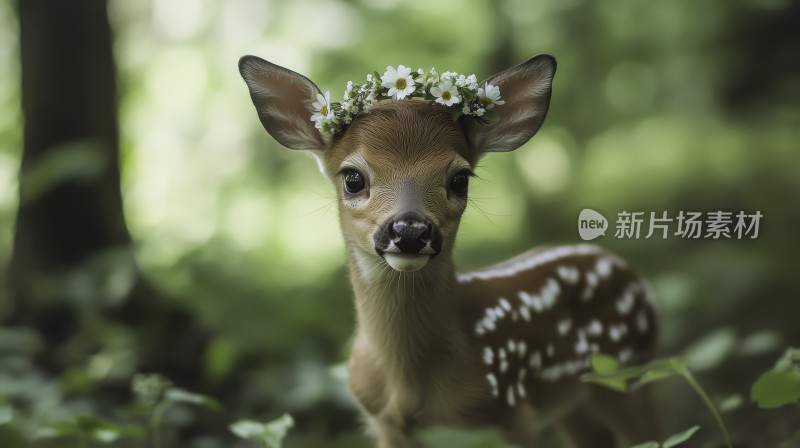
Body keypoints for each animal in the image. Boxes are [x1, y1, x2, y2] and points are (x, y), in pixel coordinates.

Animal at [241, 54, 660, 446]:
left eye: (460, 179)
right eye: (353, 178)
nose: (410, 231)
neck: (409, 384)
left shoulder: (510, 414)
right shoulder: (386, 426)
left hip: (633, 369)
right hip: (574, 398)